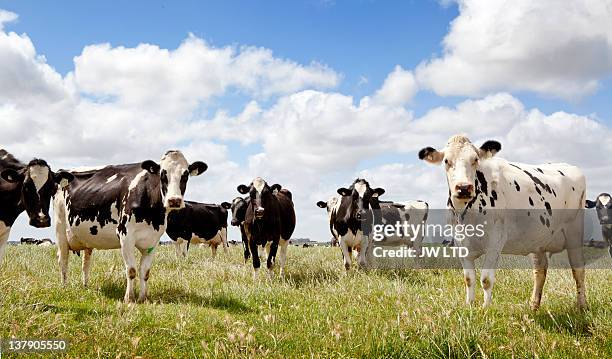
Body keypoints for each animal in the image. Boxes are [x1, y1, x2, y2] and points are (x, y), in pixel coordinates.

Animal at [53, 150, 206, 302]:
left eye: (185, 175)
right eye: (162, 175)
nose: (174, 200)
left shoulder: (153, 240)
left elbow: (145, 272)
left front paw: (143, 298)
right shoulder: (125, 236)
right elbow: (131, 270)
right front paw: (129, 298)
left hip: (86, 237)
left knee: (86, 262)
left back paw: (85, 286)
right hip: (60, 228)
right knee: (63, 259)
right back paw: (64, 287)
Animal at [420, 135, 588, 310]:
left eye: (475, 159)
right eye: (446, 161)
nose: (464, 188)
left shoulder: (495, 242)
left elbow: (486, 279)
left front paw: (485, 309)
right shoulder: (461, 245)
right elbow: (469, 279)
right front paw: (469, 306)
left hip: (574, 232)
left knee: (578, 269)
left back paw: (582, 306)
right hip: (537, 239)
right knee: (540, 270)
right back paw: (533, 306)